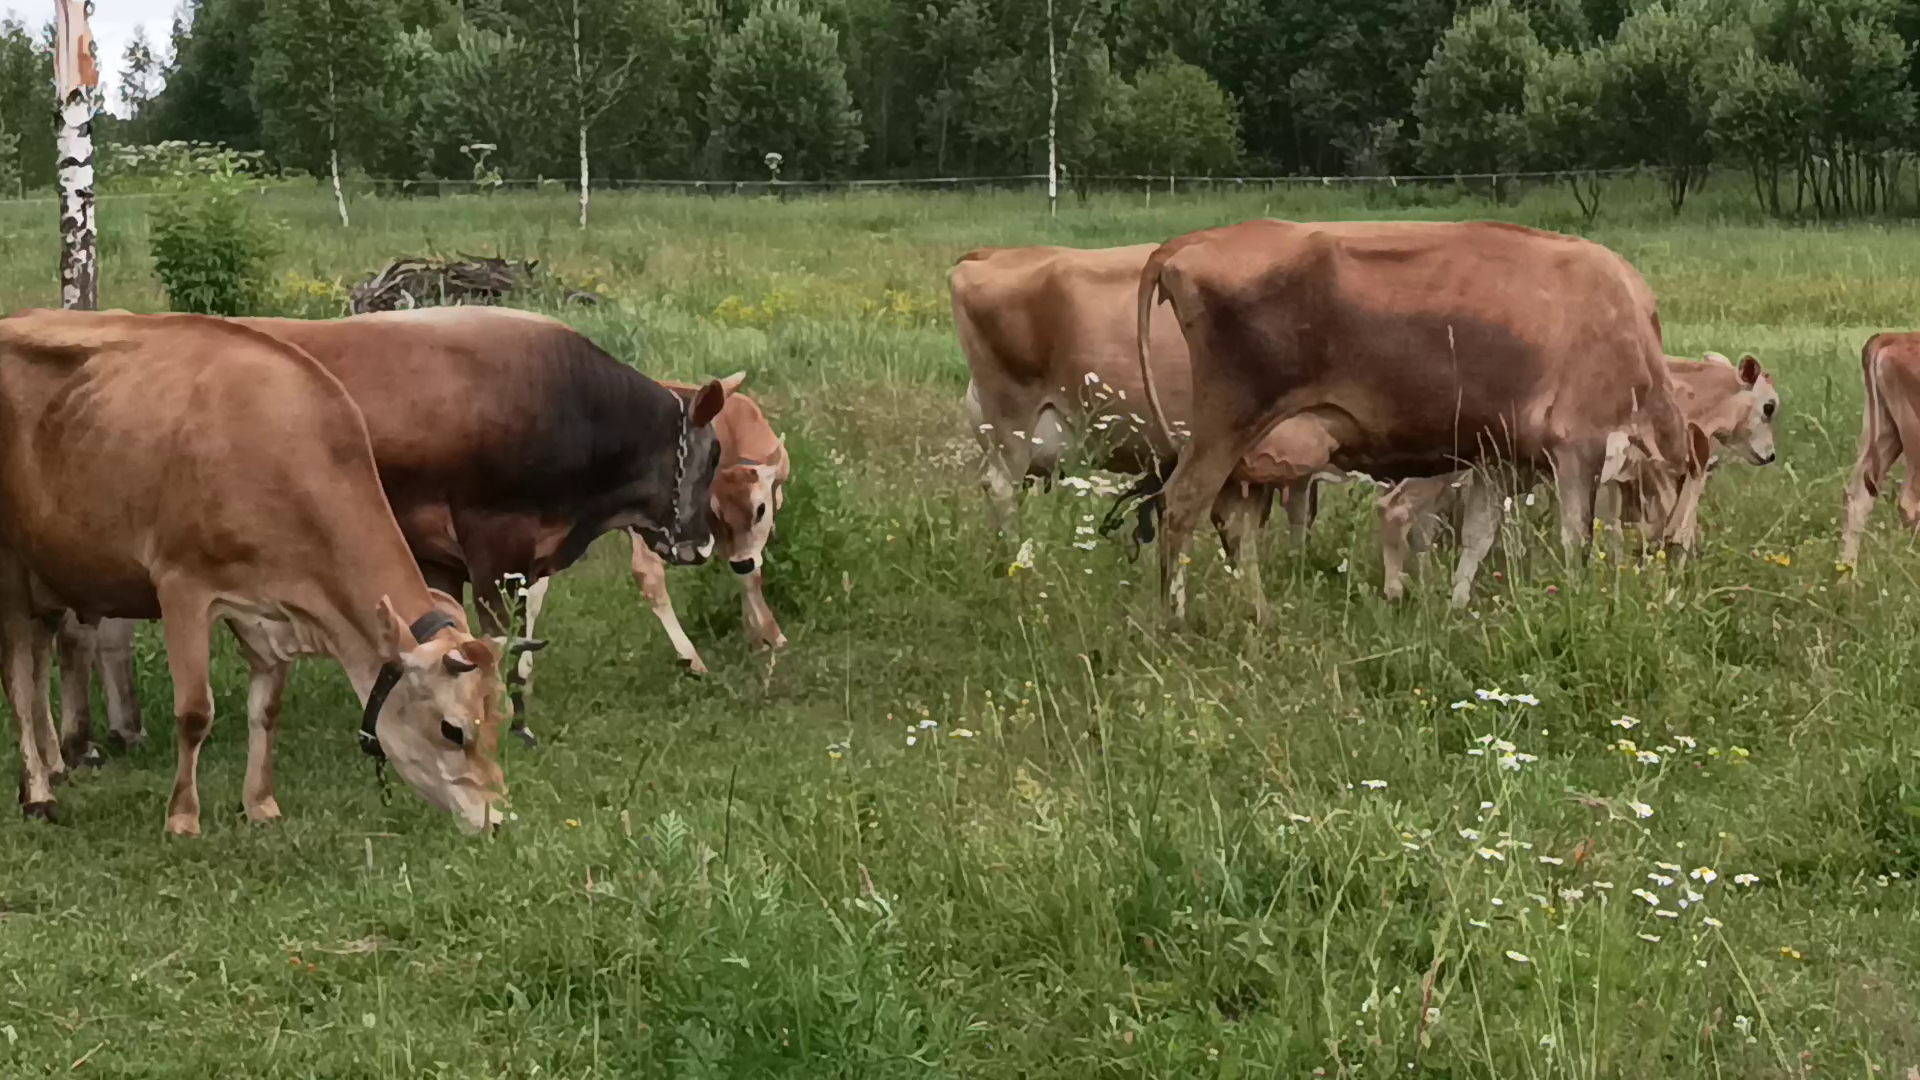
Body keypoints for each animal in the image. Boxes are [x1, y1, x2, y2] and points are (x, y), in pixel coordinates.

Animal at [56, 303, 733, 757]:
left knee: (99, 631)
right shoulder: (495, 542)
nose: (700, 544)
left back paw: (112, 732)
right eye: (716, 453)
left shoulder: (449, 558)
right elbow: (500, 636)